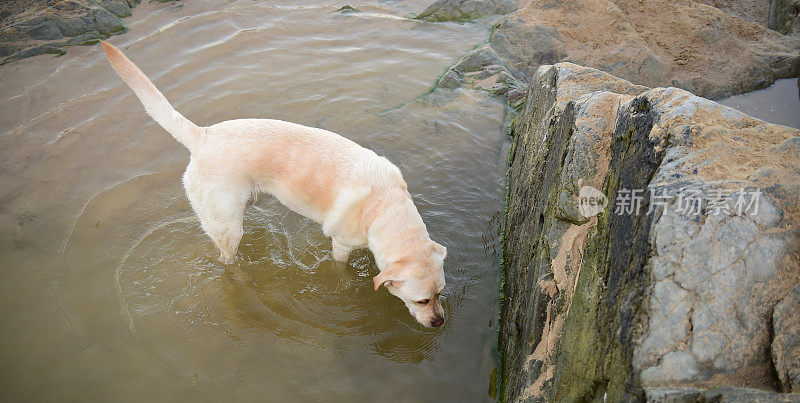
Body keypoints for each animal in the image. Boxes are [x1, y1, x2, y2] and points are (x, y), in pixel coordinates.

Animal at [101, 41, 446, 328]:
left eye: (442, 293)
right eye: (421, 300)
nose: (440, 323)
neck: (385, 206)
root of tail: (202, 135)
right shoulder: (341, 244)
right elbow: (340, 268)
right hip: (227, 225)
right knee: (225, 260)